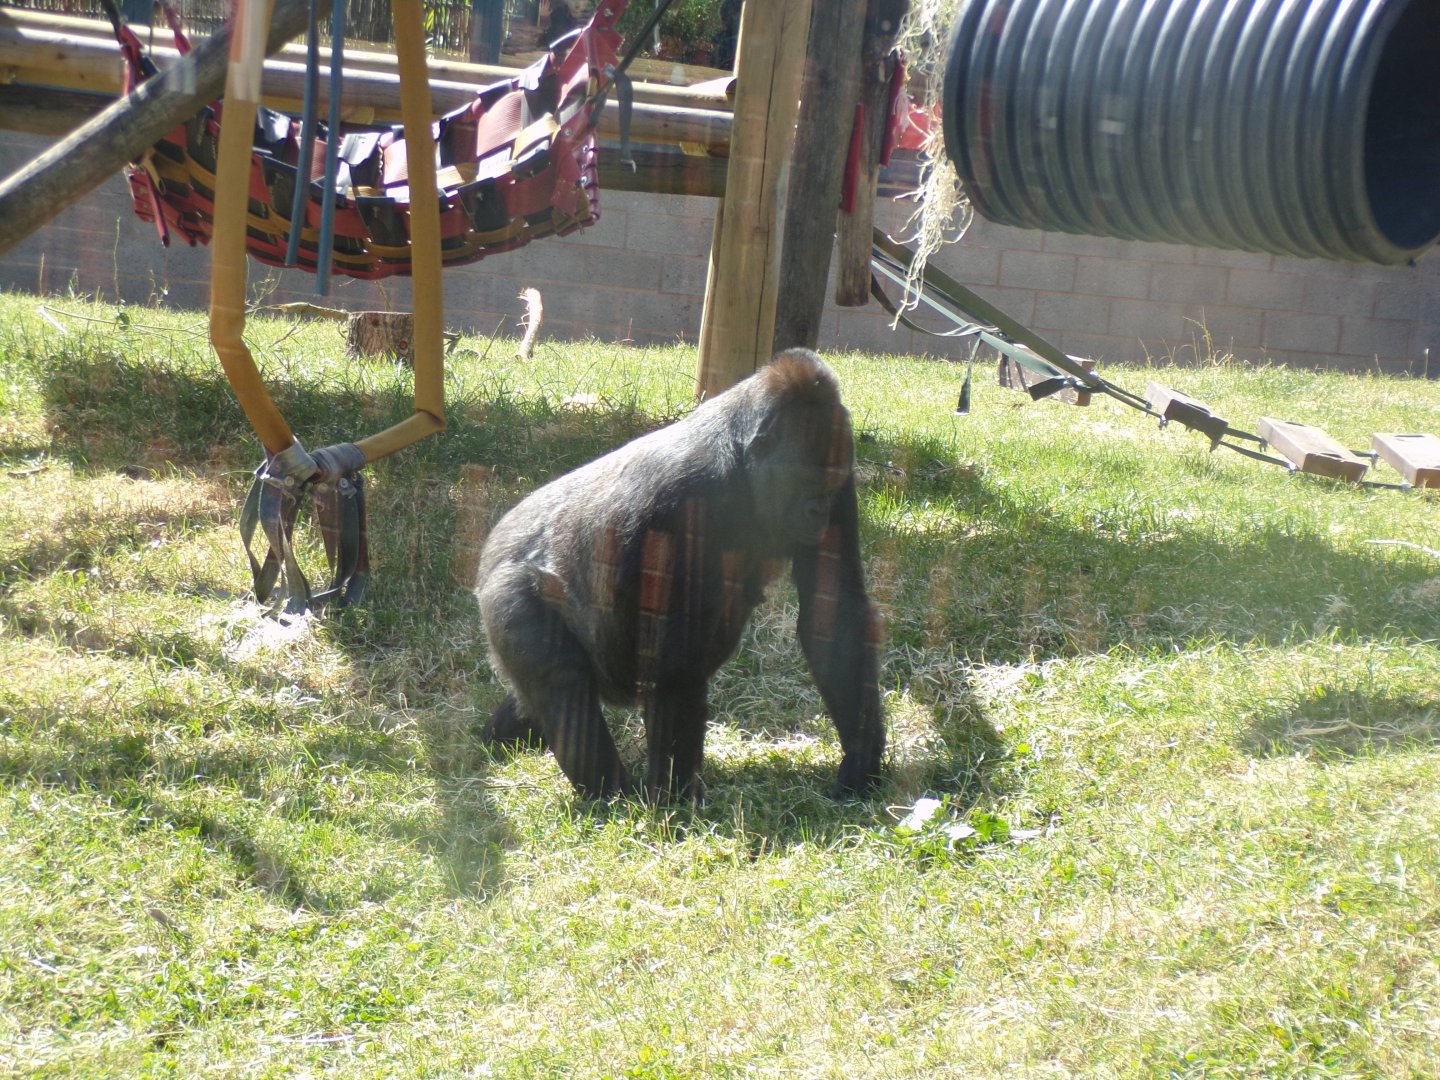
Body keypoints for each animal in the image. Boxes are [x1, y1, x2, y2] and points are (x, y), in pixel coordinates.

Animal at [475, 348, 884, 802]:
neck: (740, 461)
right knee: (563, 682)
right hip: (505, 587)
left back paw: (499, 736)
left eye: (830, 484)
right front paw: (675, 797)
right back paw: (611, 793)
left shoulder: (844, 472)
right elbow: (673, 657)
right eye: (806, 481)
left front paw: (861, 757)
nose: (818, 513)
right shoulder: (678, 497)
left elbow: (834, 611)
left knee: (538, 693)